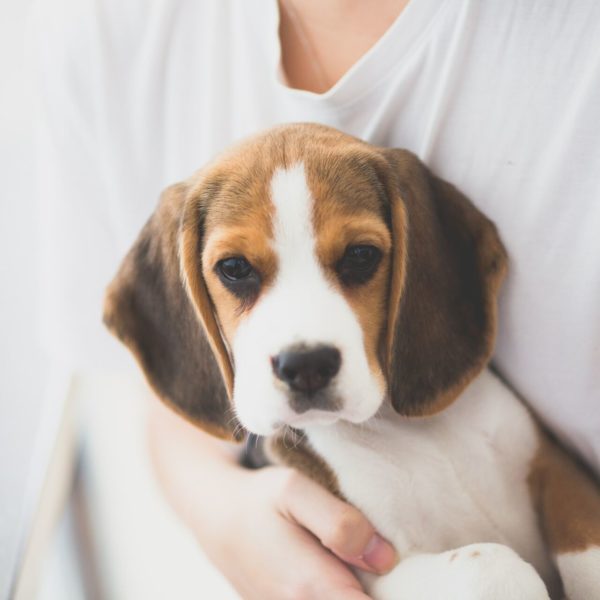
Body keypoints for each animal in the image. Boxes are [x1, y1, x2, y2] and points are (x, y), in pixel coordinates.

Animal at [105, 124, 600, 596]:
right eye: (234, 268)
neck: (412, 434)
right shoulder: (377, 565)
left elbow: (586, 547)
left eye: (361, 255)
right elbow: (493, 566)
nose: (305, 366)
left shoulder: (555, 469)